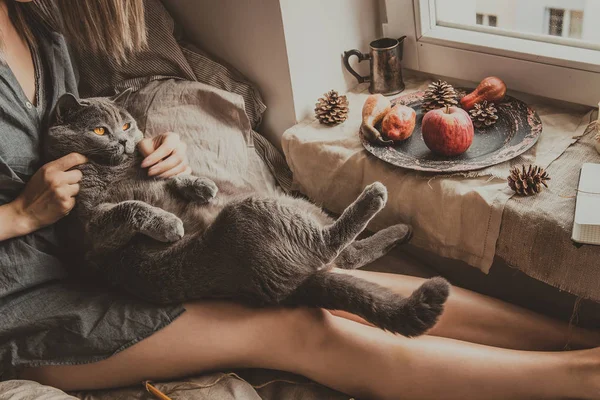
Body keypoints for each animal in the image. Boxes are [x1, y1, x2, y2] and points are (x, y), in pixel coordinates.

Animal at [45, 92, 450, 336]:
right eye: (101, 130)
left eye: (128, 124)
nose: (125, 140)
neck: (119, 169)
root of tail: (293, 289)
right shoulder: (89, 226)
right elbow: (131, 207)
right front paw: (170, 223)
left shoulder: (153, 170)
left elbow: (174, 177)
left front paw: (201, 187)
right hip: (254, 214)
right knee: (331, 245)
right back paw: (375, 197)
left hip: (290, 203)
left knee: (347, 254)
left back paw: (402, 229)